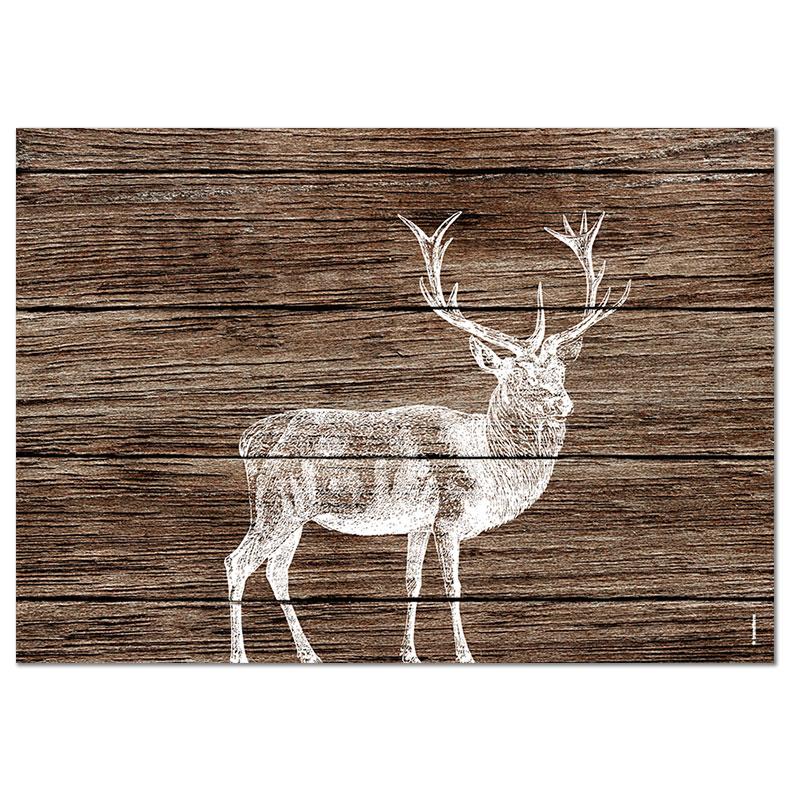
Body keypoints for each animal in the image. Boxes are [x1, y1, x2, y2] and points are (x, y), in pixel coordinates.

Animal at [225, 211, 630, 663]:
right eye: (516, 376)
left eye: (559, 371)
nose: (563, 403)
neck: (488, 463)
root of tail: (248, 440)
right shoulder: (448, 518)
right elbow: (453, 586)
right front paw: (465, 655)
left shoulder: (418, 522)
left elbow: (411, 581)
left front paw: (409, 653)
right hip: (278, 506)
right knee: (237, 562)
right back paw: (240, 656)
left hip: (292, 516)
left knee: (276, 571)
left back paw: (310, 654)